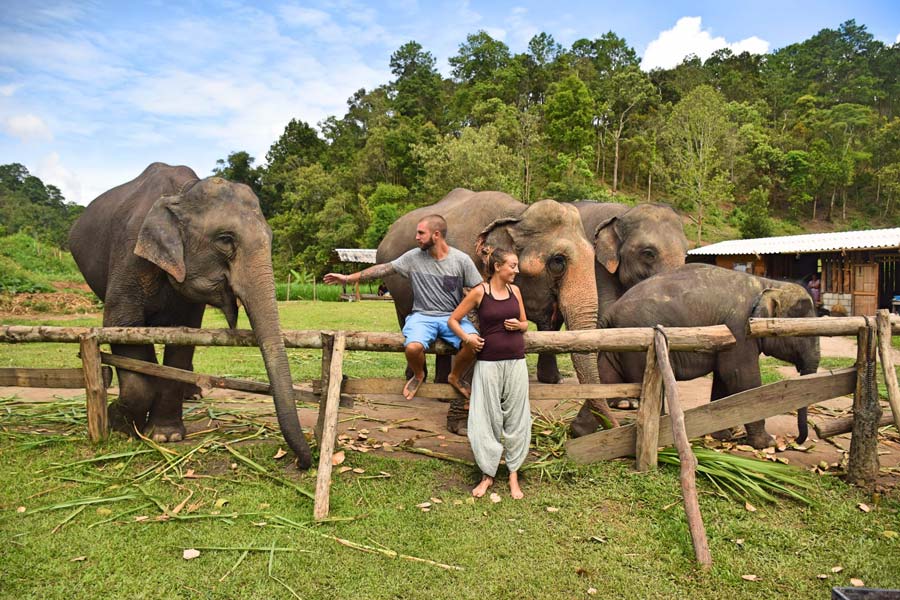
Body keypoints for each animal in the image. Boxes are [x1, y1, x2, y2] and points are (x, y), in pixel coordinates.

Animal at [68, 162, 312, 466]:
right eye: (225, 239)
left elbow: (184, 339)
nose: (302, 461)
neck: (182, 193)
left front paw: (165, 435)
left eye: (270, 238)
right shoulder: (129, 253)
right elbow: (121, 326)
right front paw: (121, 426)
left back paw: (192, 396)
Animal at [372, 188, 604, 432]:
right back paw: (418, 380)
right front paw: (464, 427)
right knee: (405, 319)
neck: (517, 214)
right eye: (558, 261)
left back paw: (441, 390)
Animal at [572, 264, 820, 448]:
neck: (769, 284)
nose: (797, 441)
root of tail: (612, 310)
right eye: (803, 334)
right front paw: (767, 444)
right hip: (640, 347)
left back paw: (579, 433)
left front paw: (723, 436)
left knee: (605, 378)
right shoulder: (739, 328)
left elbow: (724, 377)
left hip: (621, 346)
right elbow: (741, 377)